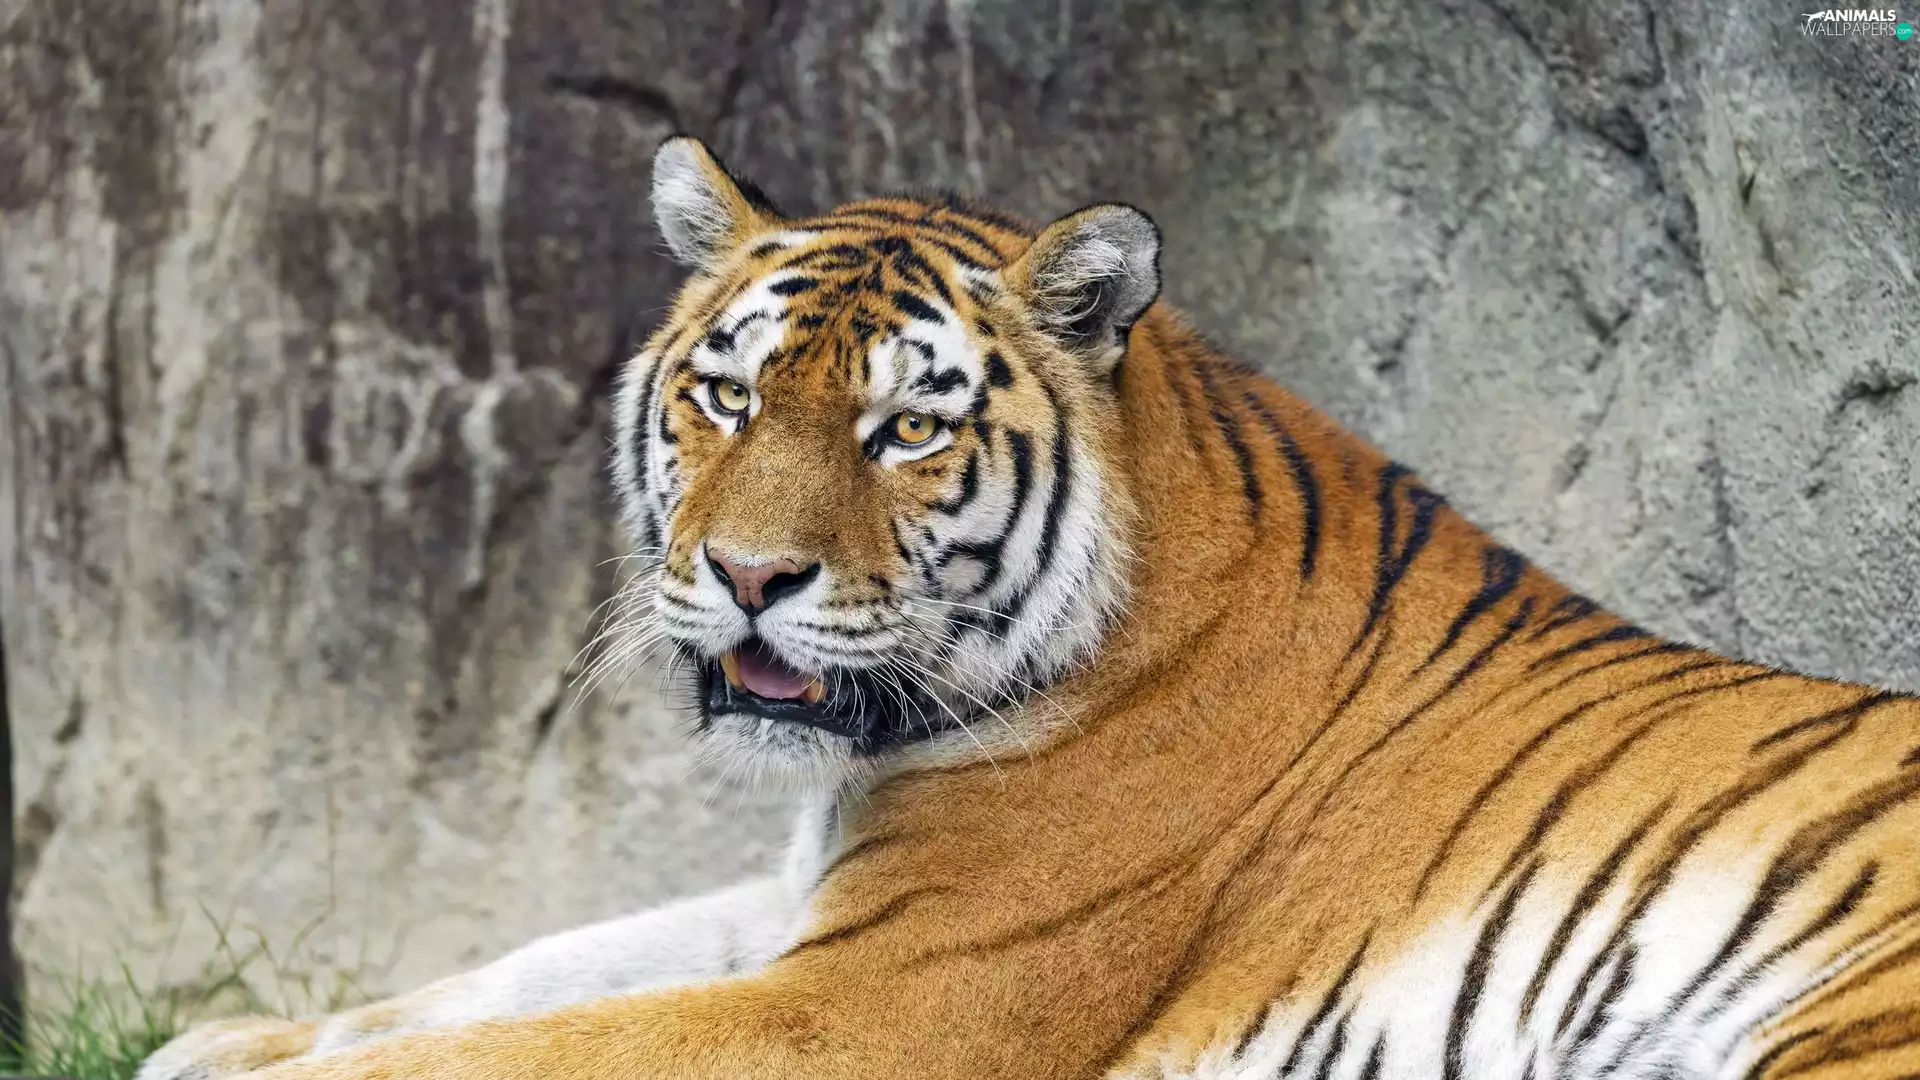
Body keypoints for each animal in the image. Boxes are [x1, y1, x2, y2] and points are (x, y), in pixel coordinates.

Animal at [138, 135, 1920, 1080]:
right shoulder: (799, 907)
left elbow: (517, 1049)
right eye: (726, 398)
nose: (750, 577)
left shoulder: (868, 1005)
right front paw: (228, 1047)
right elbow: (524, 969)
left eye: (903, 431)